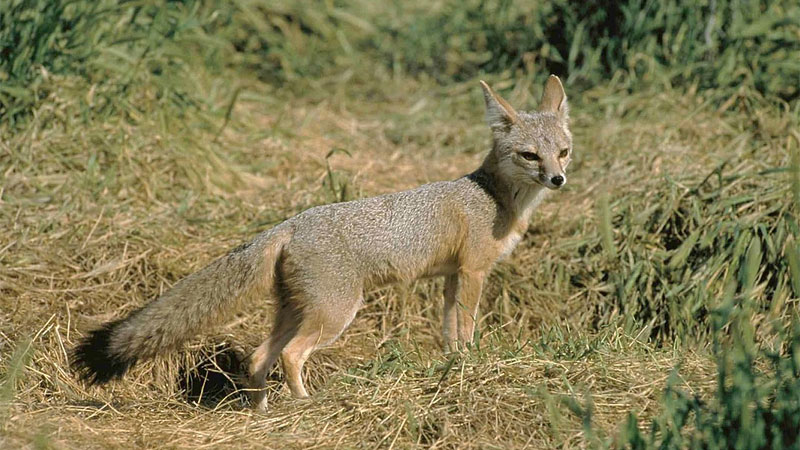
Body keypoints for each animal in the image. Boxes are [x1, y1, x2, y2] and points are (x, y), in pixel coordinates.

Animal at [72, 76, 573, 411]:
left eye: (562, 152)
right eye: (530, 155)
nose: (558, 179)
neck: (494, 197)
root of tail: (292, 222)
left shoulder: (452, 277)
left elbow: (449, 332)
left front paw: (454, 368)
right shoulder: (472, 273)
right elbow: (465, 330)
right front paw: (471, 365)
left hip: (297, 310)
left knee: (258, 356)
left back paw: (264, 414)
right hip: (335, 314)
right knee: (289, 355)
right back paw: (306, 403)